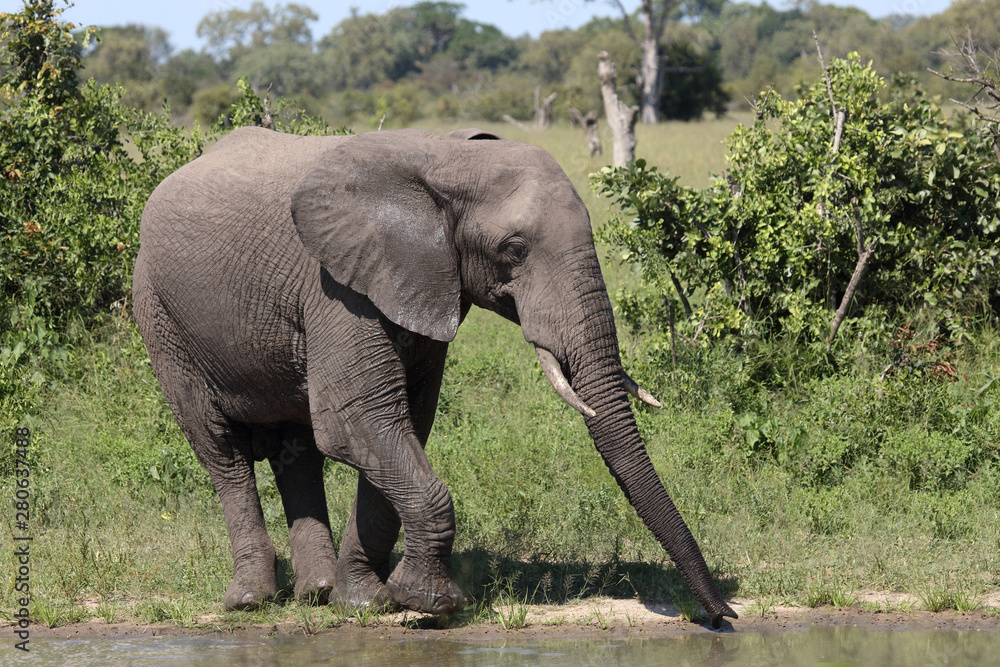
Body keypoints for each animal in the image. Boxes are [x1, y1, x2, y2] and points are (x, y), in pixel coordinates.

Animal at [132, 125, 737, 627]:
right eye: (514, 249)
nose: (722, 617)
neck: (445, 157)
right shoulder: (337, 286)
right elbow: (359, 423)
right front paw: (428, 603)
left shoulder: (417, 281)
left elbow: (405, 424)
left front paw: (365, 602)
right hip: (160, 316)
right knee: (221, 449)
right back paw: (251, 602)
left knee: (295, 451)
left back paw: (316, 594)